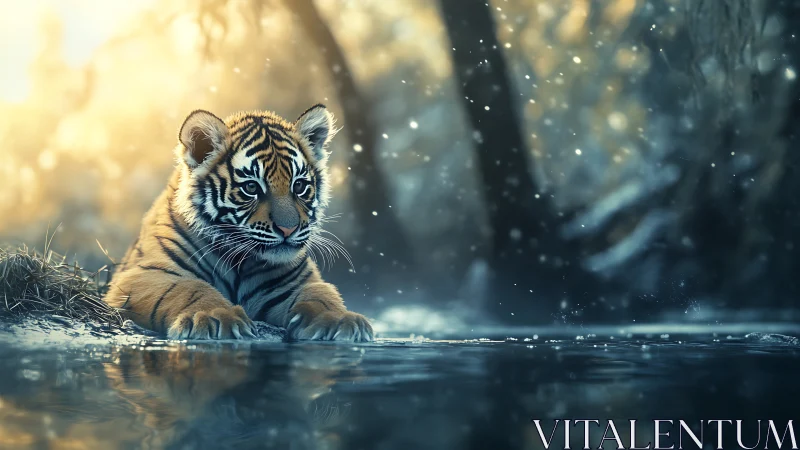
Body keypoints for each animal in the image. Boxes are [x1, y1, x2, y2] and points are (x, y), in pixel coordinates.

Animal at [103, 104, 373, 341]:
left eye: (299, 186)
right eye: (251, 188)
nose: (289, 229)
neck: (240, 263)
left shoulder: (297, 281)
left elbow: (322, 294)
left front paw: (341, 320)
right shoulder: (144, 274)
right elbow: (188, 287)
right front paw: (216, 317)